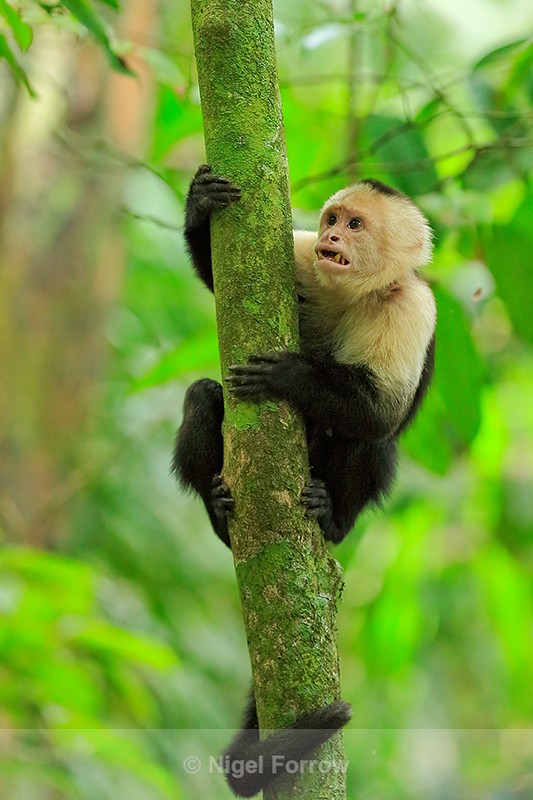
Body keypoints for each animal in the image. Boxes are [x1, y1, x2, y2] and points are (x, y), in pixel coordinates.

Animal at [172, 164, 436, 796]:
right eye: (331, 220)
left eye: (356, 224)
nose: (334, 237)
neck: (353, 293)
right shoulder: (300, 256)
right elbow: (218, 280)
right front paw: (200, 205)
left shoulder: (411, 307)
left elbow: (380, 413)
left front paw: (293, 375)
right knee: (203, 397)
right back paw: (219, 508)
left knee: (372, 442)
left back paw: (328, 515)